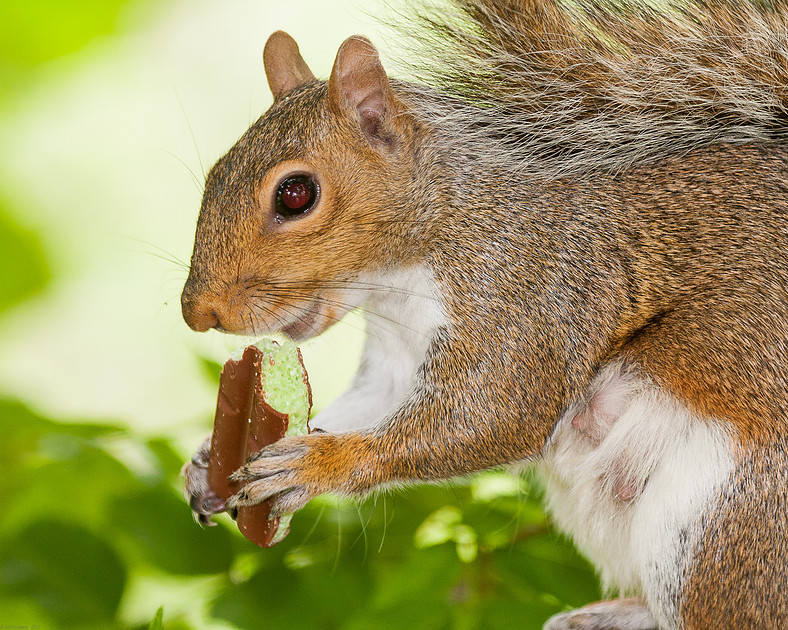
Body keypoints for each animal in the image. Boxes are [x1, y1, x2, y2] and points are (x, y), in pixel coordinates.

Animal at [179, 1, 788, 628]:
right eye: (214, 174)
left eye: (296, 194)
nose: (197, 313)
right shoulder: (397, 356)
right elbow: (373, 402)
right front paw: (204, 464)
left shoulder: (531, 291)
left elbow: (495, 414)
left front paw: (317, 465)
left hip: (722, 528)